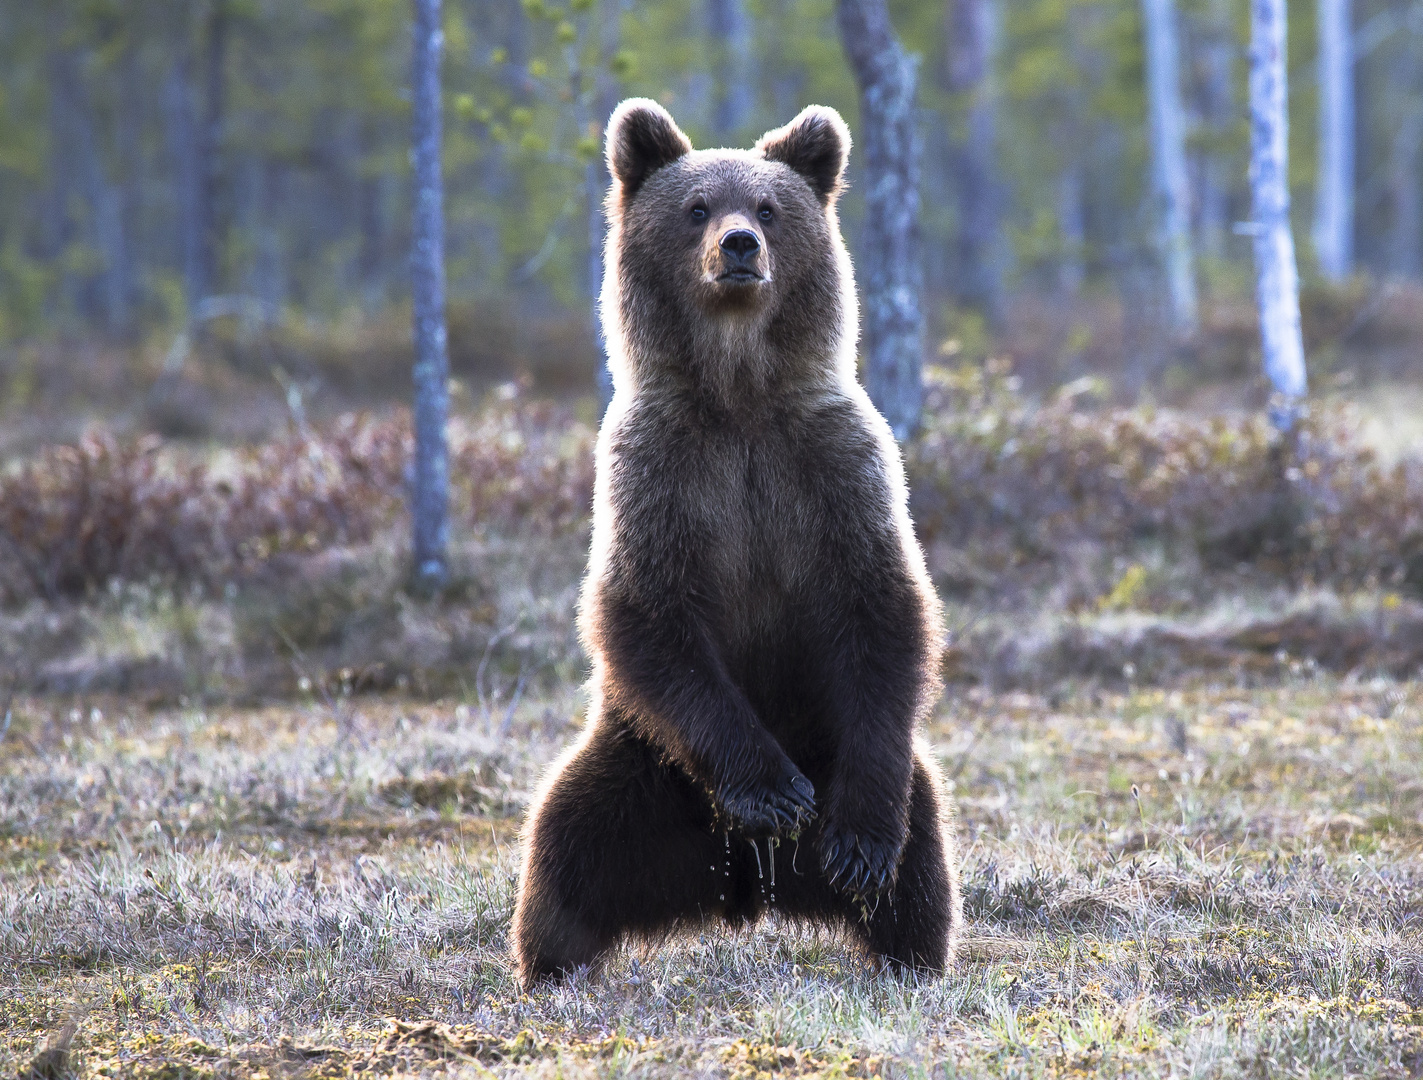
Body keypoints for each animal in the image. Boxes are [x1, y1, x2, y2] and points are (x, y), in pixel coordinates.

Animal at [506, 101, 961, 990]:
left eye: (770, 207)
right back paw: (549, 964)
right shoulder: (658, 471)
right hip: (640, 764)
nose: (739, 246)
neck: (739, 399)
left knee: (921, 858)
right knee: (564, 849)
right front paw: (773, 796)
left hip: (847, 747)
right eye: (696, 207)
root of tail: (743, 888)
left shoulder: (834, 464)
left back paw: (906, 949)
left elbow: (883, 604)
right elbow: (646, 614)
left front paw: (854, 847)